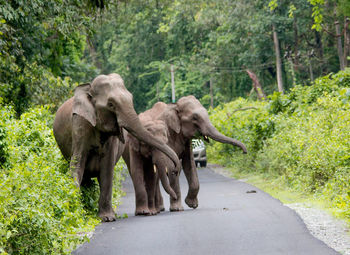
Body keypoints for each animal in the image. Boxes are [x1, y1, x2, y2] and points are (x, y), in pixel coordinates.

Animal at [55, 73, 182, 221]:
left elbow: (107, 169)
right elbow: (77, 163)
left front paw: (107, 218)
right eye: (111, 104)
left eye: (131, 99)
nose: (175, 169)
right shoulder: (80, 125)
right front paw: (76, 212)